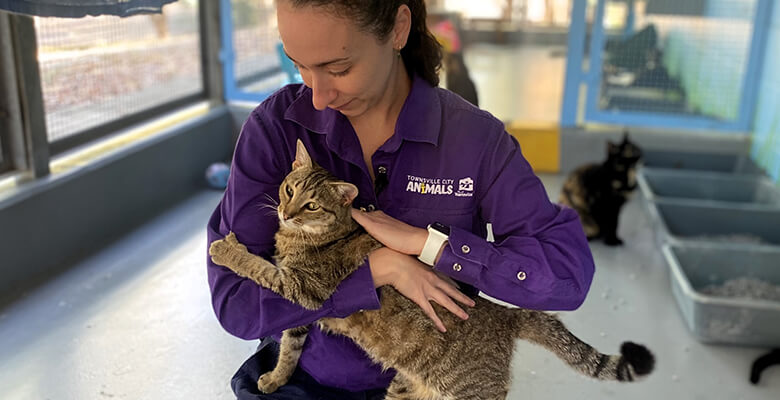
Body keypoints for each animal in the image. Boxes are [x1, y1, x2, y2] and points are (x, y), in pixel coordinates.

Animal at [210, 139, 656, 398]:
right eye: (288, 189)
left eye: (312, 205)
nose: (285, 212)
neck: (301, 238)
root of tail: (505, 315)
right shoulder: (301, 312)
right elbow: (289, 349)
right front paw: (276, 379)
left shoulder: (305, 288)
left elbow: (260, 268)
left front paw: (226, 249)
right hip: (406, 386)